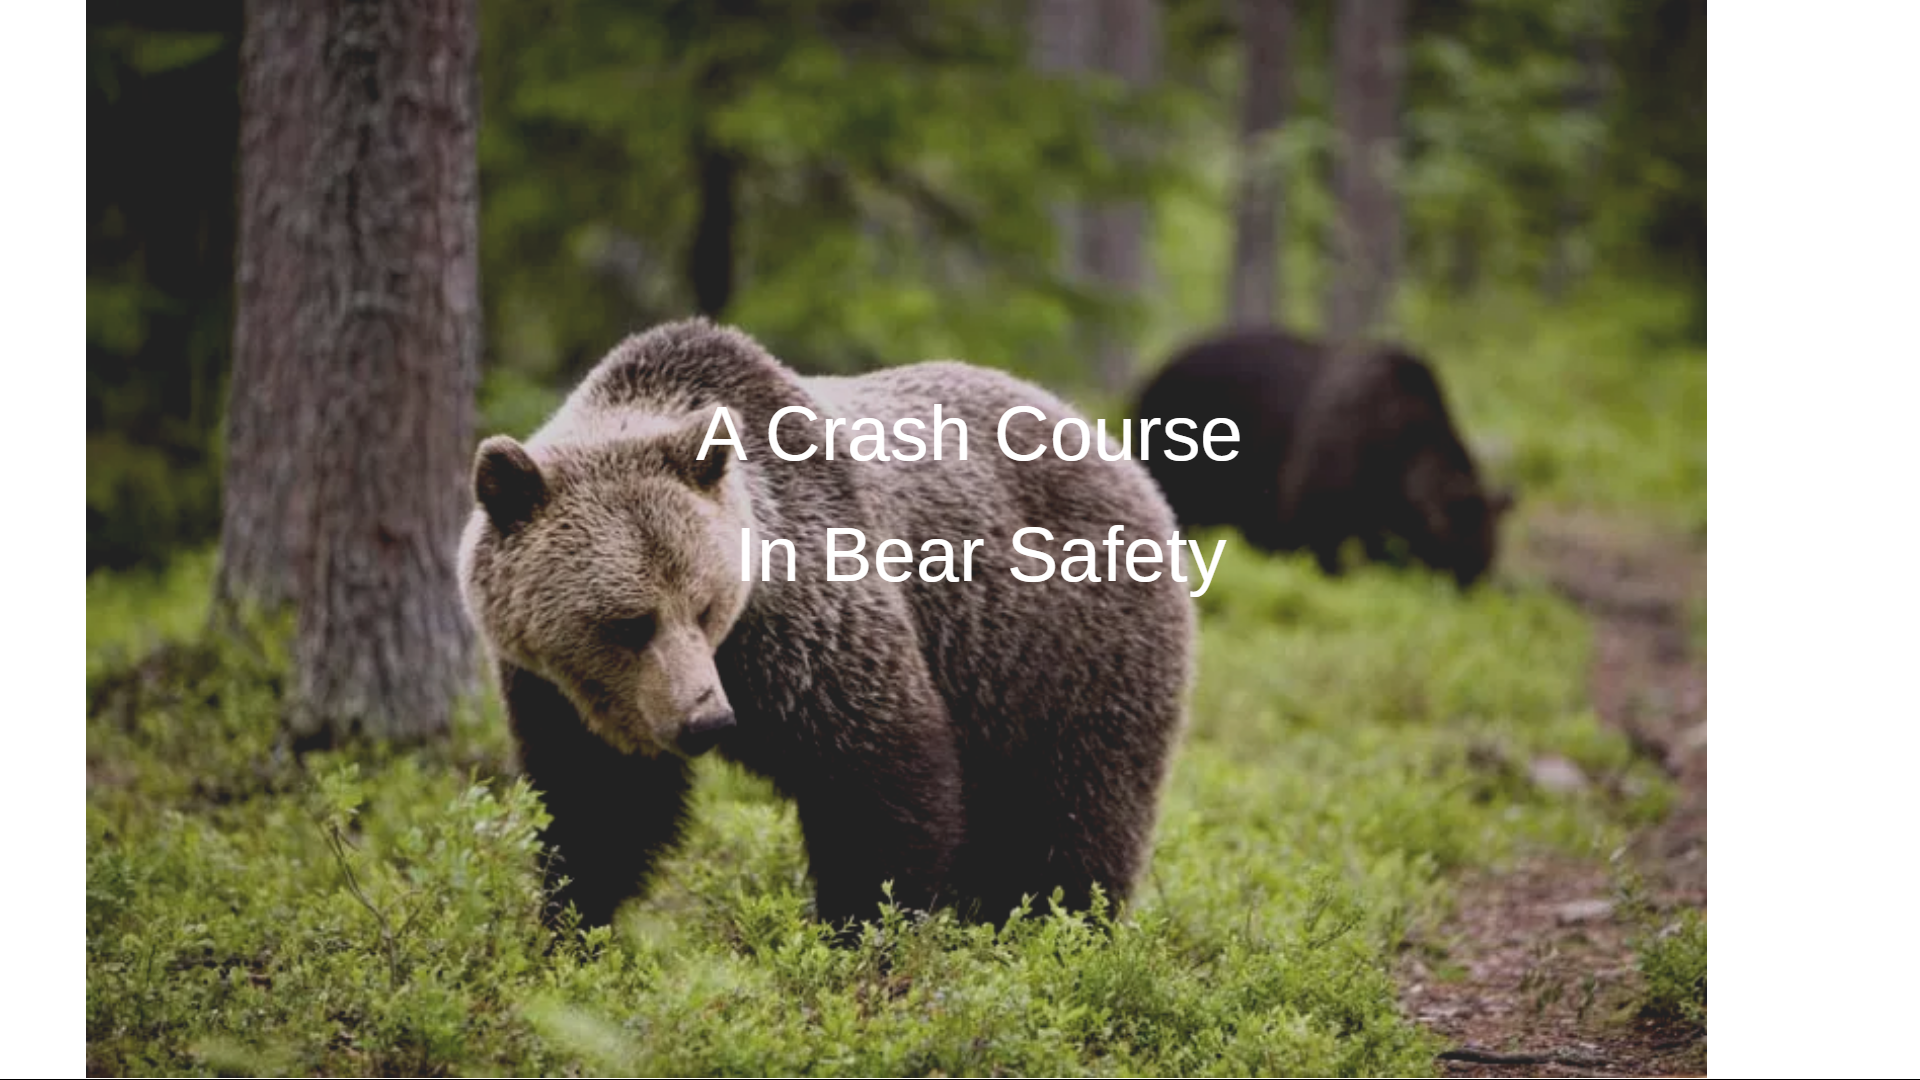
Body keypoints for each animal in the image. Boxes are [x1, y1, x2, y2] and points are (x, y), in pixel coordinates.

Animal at [459, 319, 1195, 930]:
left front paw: (862, 931)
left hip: (1060, 650)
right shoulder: (556, 692)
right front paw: (571, 925)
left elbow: (877, 777)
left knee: (1068, 815)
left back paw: (1056, 926)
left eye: (705, 605)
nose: (708, 721)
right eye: (628, 623)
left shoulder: (805, 620)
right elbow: (596, 809)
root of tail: (1108, 442)